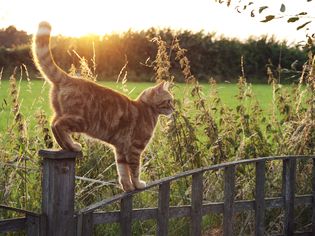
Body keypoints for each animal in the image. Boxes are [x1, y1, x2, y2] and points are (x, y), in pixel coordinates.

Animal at [32, 21, 175, 192]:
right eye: (169, 100)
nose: (174, 108)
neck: (146, 108)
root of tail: (69, 78)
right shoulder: (135, 148)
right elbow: (135, 170)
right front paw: (138, 184)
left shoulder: (120, 150)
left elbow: (123, 171)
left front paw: (127, 187)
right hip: (81, 120)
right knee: (58, 125)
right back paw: (73, 146)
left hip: (62, 114)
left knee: (54, 124)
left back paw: (68, 146)